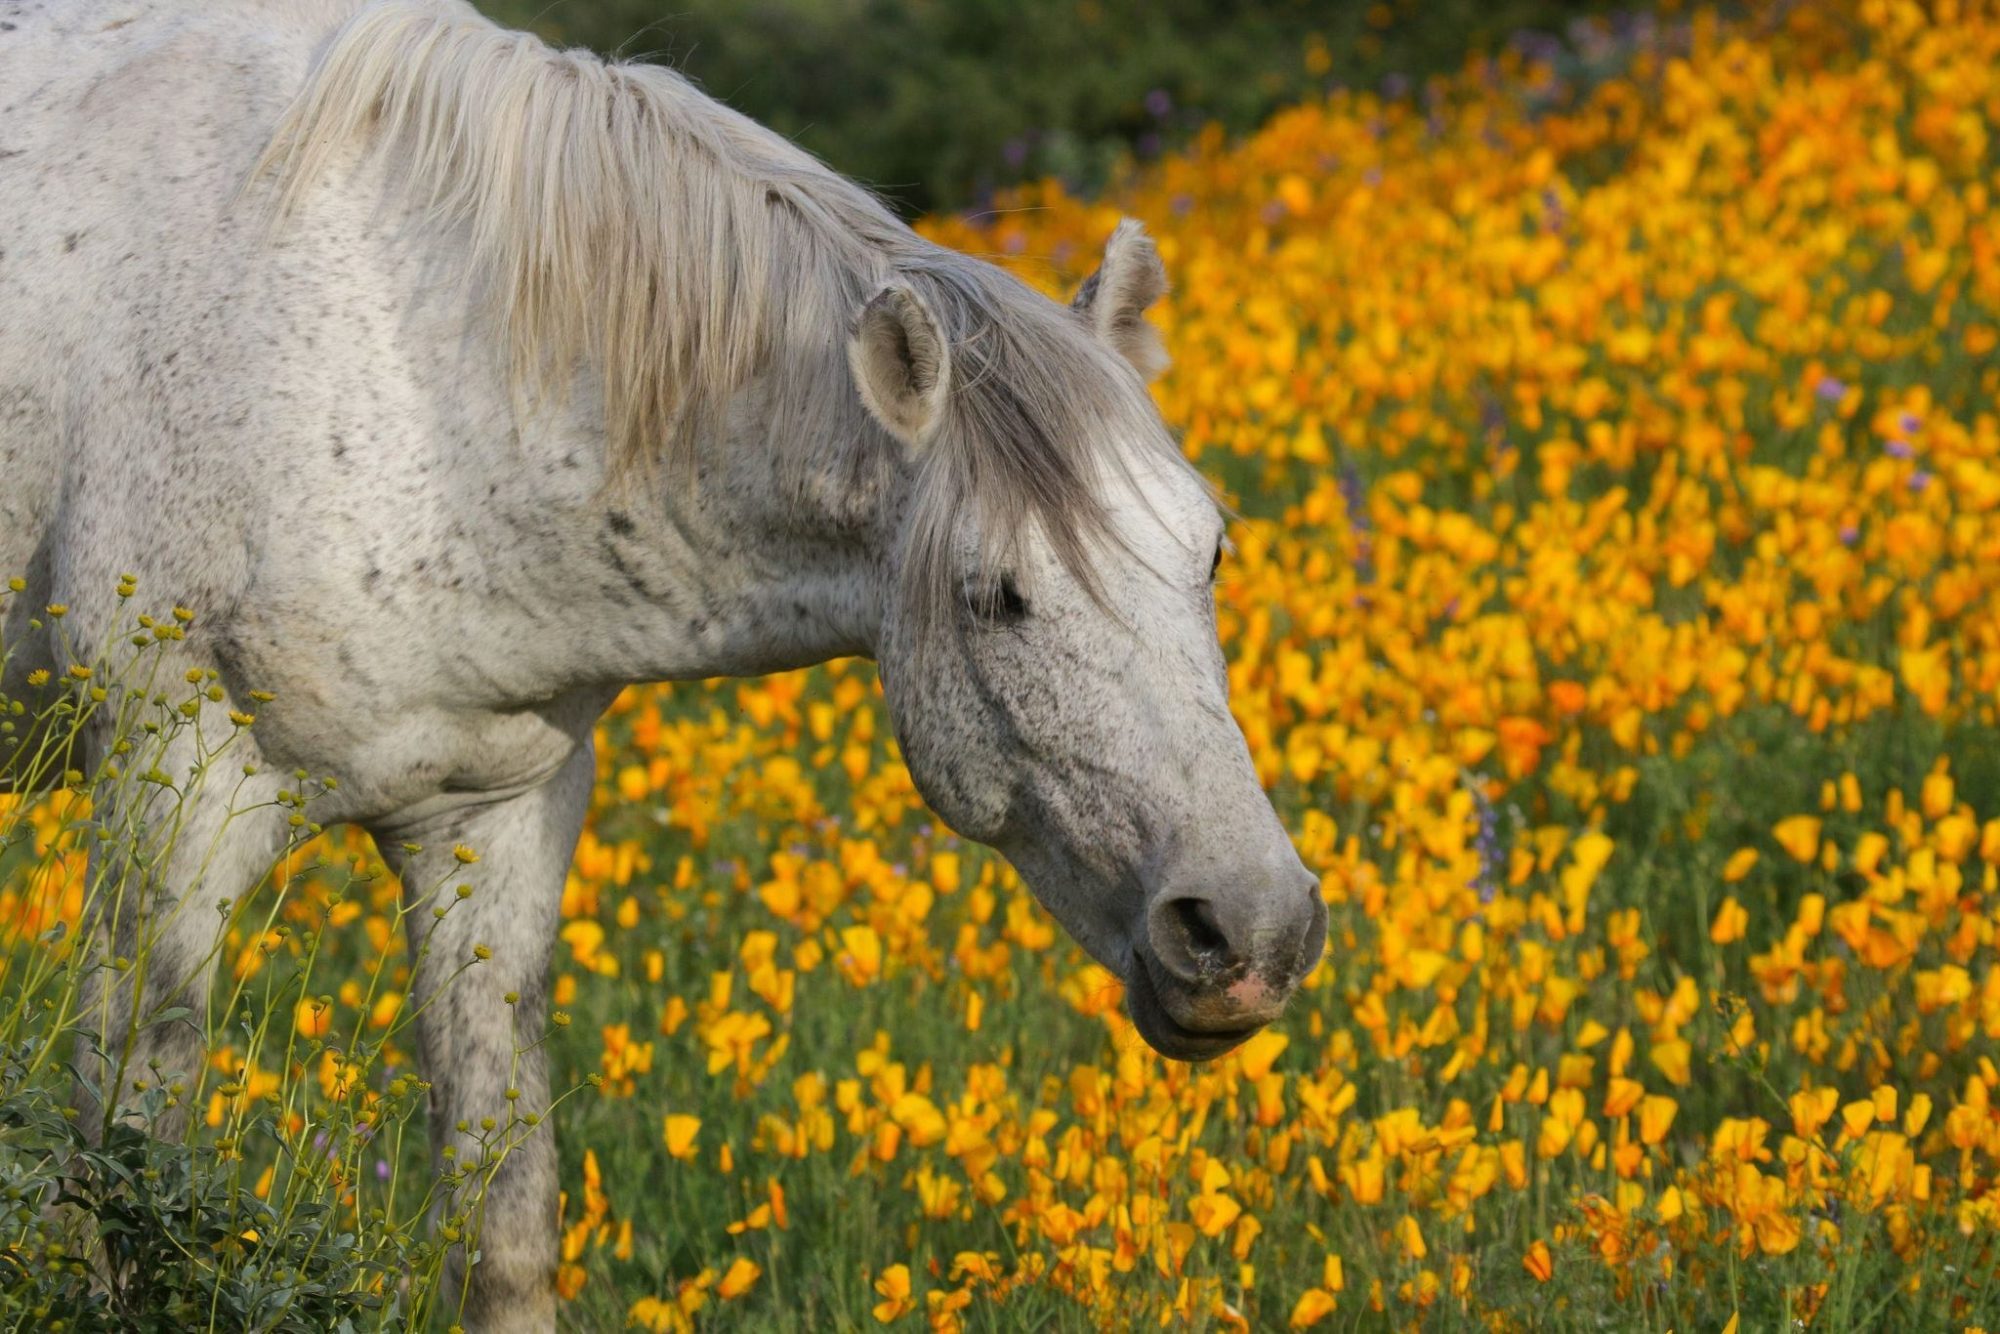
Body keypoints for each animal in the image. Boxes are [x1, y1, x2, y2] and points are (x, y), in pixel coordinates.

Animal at [3, 2, 1328, 1328]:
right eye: (993, 595)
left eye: (1210, 551)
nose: (1246, 932)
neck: (401, 355)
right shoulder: (169, 816)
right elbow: (125, 1205)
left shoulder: (490, 822)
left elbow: (500, 1227)